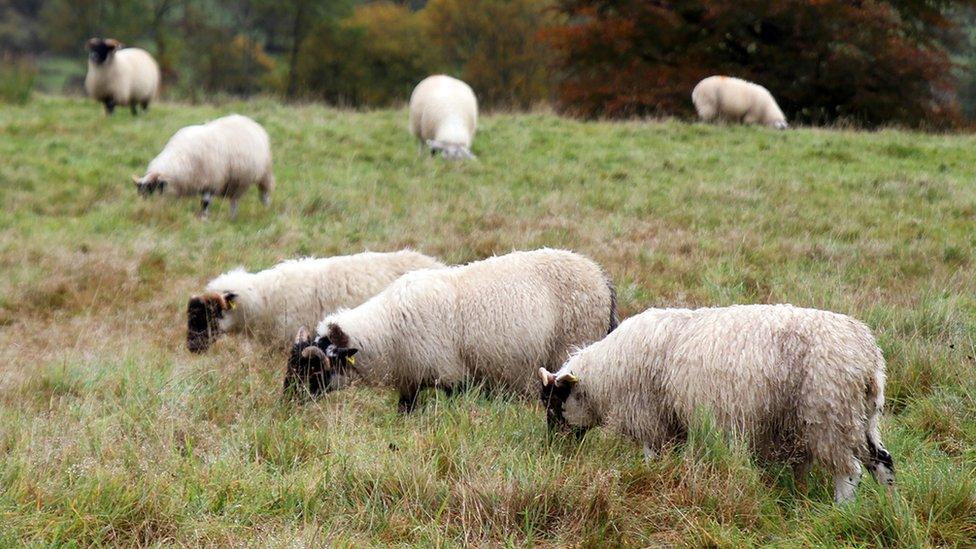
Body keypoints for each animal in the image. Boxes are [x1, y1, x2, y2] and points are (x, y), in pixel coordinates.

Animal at [132, 113, 276, 218]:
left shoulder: (211, 180)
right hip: (236, 181)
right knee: (234, 199)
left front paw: (204, 217)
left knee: (263, 193)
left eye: (151, 190)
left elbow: (205, 202)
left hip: (264, 173)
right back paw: (233, 216)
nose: (144, 209)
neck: (181, 158)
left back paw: (265, 209)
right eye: (141, 193)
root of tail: (249, 120)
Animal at [284, 248, 616, 412]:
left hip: (572, 343)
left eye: (313, 369)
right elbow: (405, 410)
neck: (387, 330)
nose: (285, 402)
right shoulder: (410, 378)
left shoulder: (452, 376)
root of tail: (601, 277)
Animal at [536, 302, 896, 504]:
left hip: (828, 415)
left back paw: (842, 508)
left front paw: (647, 474)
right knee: (883, 463)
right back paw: (889, 508)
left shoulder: (649, 414)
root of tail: (867, 357)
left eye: (554, 405)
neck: (604, 375)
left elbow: (651, 454)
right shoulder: (672, 419)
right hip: (861, 418)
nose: (555, 448)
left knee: (850, 470)